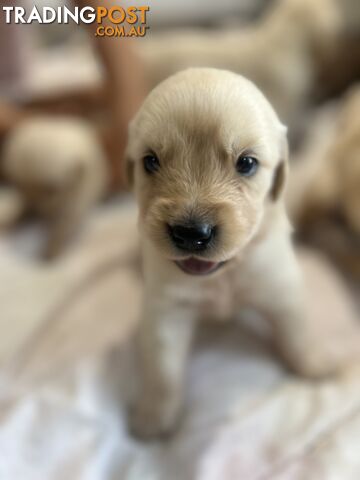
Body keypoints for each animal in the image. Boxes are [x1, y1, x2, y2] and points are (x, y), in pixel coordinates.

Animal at [1, 116, 108, 258]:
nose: (36, 212)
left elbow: (65, 224)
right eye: (18, 185)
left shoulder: (77, 198)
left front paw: (51, 251)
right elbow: (21, 210)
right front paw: (10, 220)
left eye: (51, 191)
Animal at [124, 67, 360, 438]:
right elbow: (163, 368)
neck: (224, 273)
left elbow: (297, 332)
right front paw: (154, 414)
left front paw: (312, 363)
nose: (191, 233)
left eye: (246, 163)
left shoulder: (281, 285)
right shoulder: (165, 307)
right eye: (150, 161)